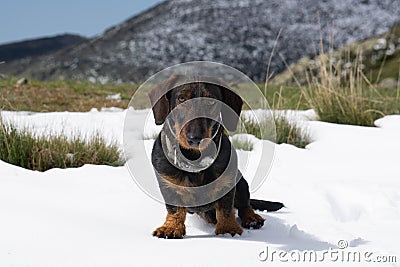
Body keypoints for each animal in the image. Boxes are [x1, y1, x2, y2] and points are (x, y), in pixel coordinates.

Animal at [148, 75, 282, 239]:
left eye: (211, 101)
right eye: (181, 98)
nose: (195, 139)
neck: (195, 159)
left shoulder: (228, 183)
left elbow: (226, 208)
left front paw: (227, 228)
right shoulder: (169, 184)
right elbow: (174, 208)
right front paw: (171, 227)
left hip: (241, 182)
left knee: (245, 205)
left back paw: (252, 218)